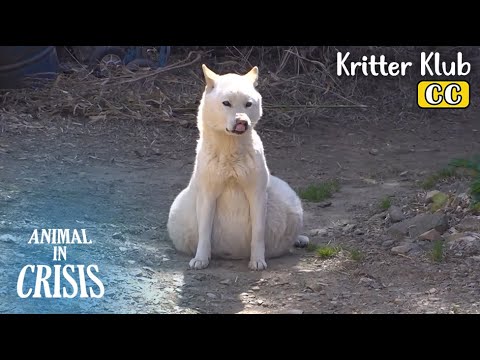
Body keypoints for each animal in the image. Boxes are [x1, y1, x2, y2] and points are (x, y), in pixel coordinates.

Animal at [167, 64, 308, 270]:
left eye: (248, 104)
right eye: (226, 103)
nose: (242, 122)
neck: (230, 153)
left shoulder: (257, 195)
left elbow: (258, 232)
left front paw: (257, 260)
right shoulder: (207, 196)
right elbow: (204, 232)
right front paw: (201, 259)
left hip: (289, 201)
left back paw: (300, 239)